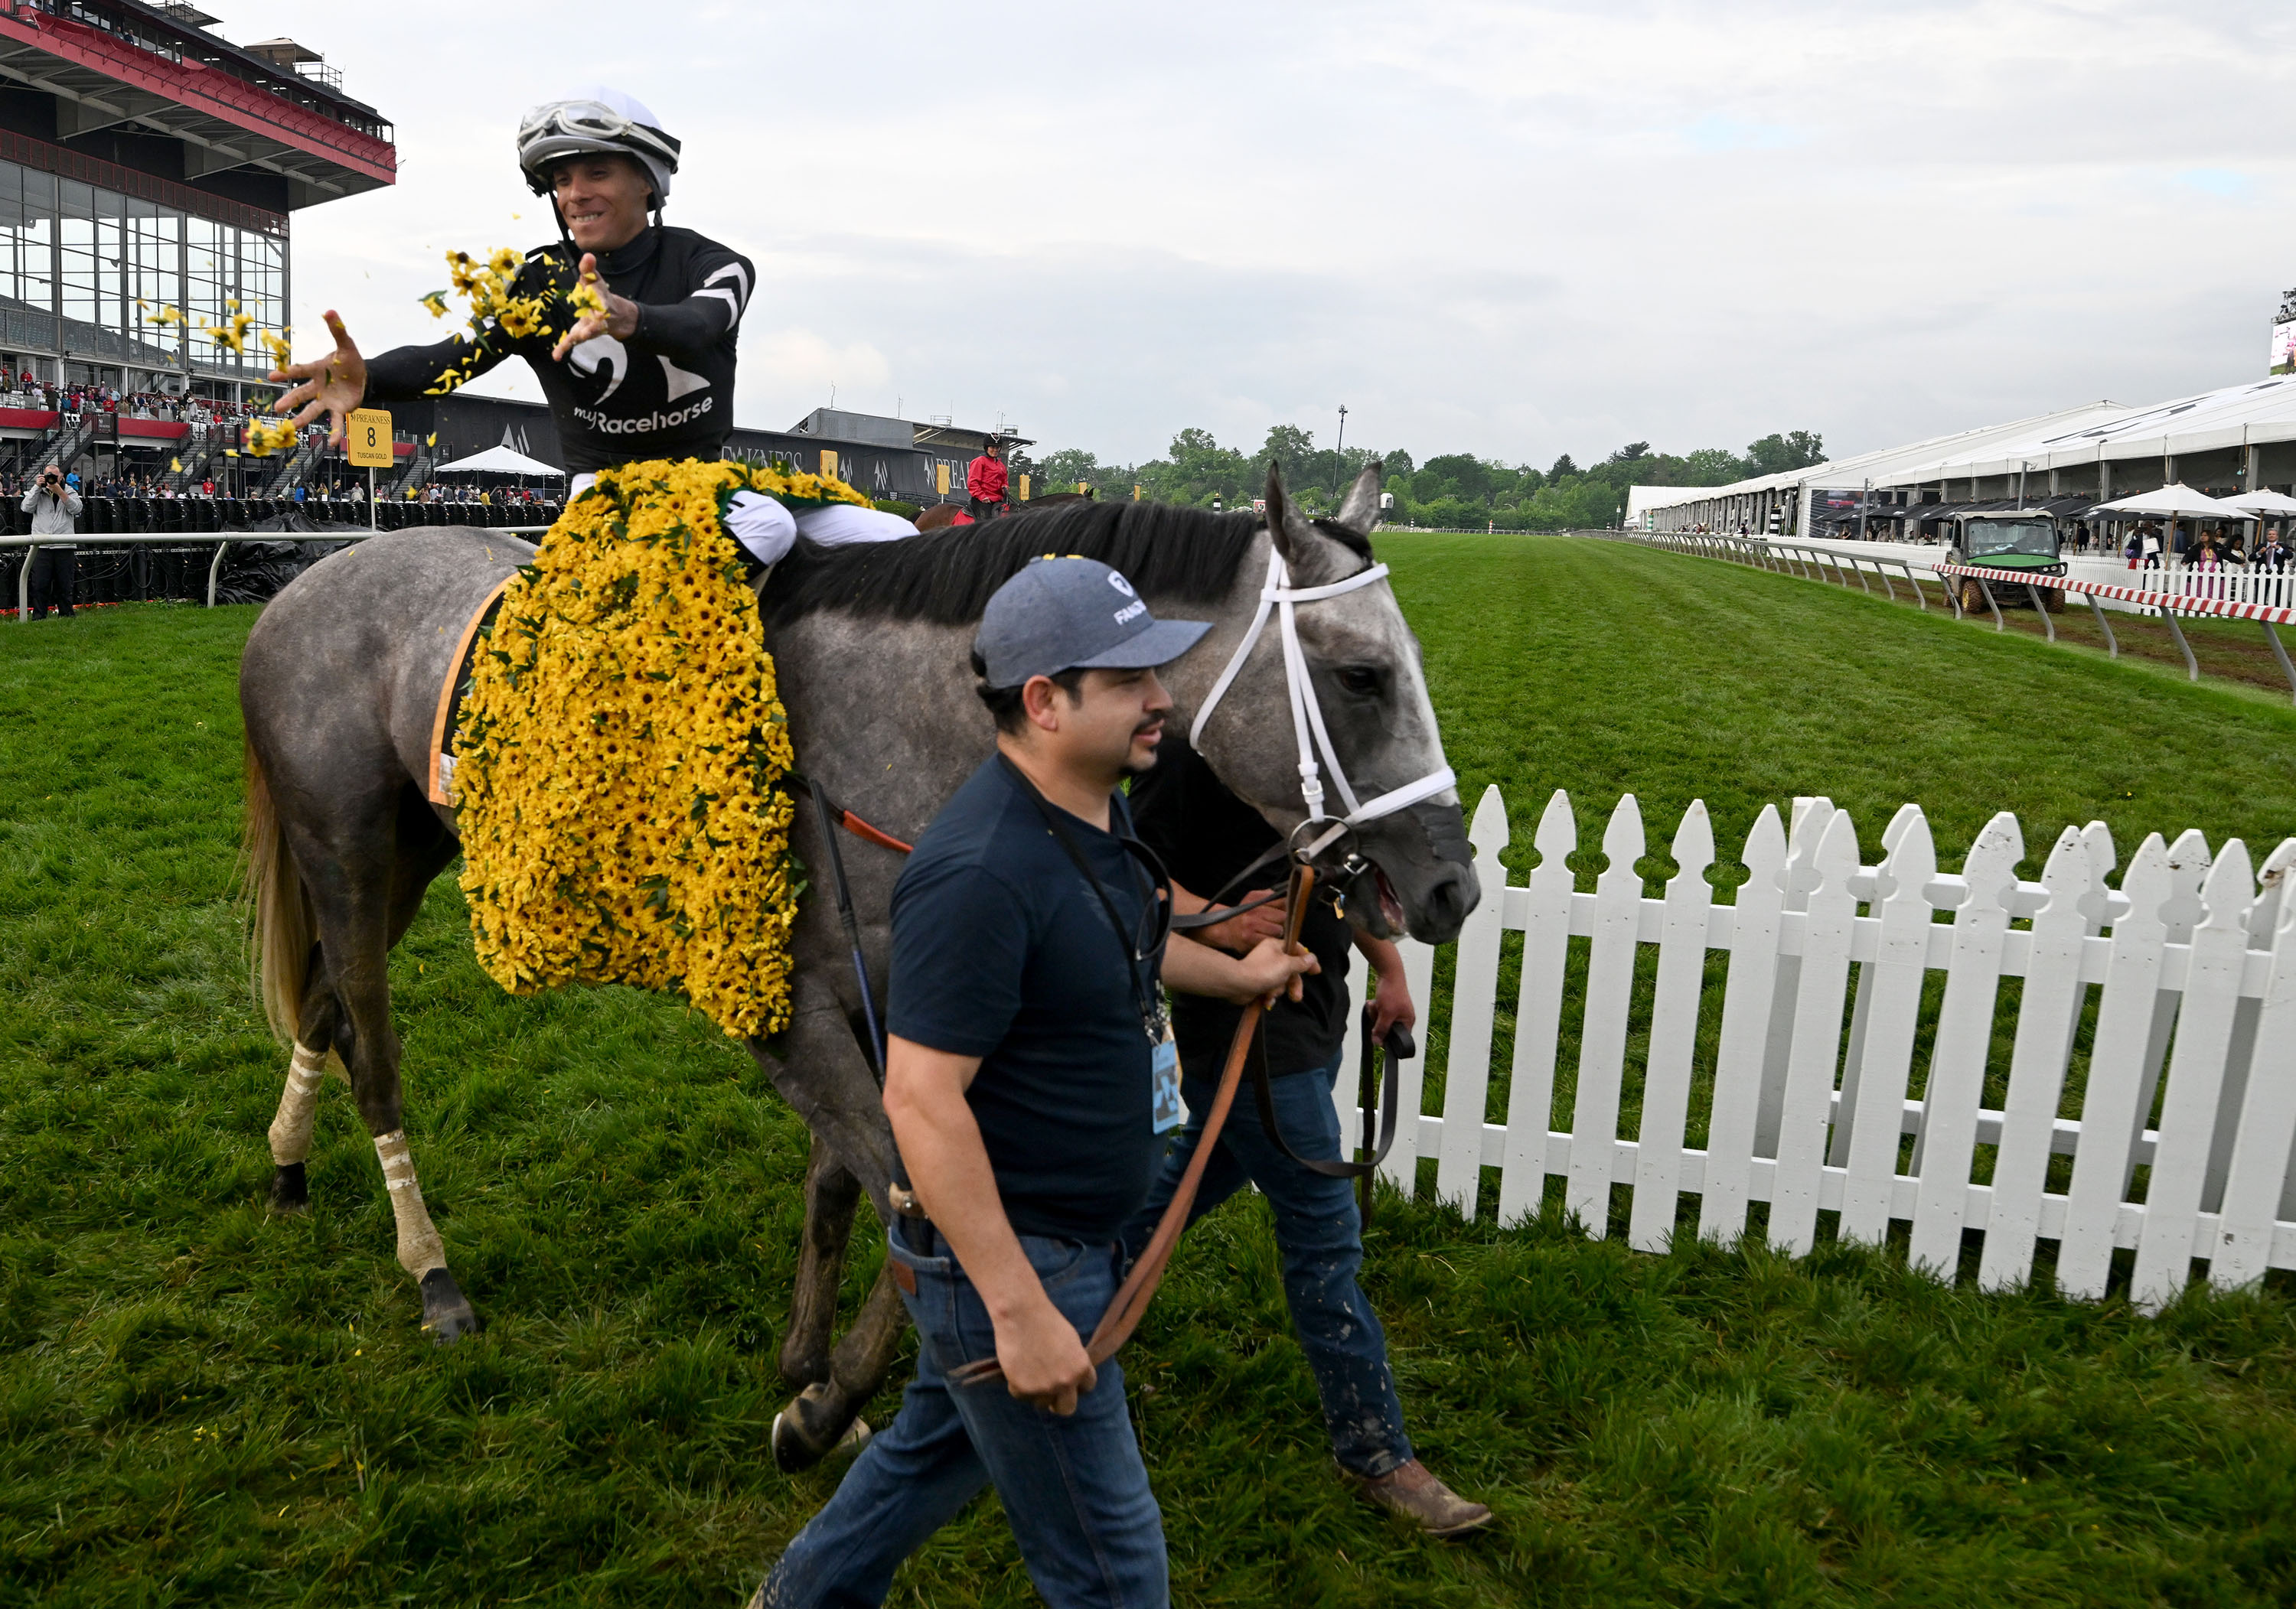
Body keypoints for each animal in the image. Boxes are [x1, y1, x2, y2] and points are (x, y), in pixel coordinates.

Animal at [237, 464, 1469, 1469]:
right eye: (1364, 676)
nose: (1453, 882)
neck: (893, 737)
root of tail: (299, 587)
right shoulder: (784, 1016)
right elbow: (918, 1198)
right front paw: (827, 1406)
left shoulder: (898, 999)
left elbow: (853, 1183)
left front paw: (810, 1367)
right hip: (346, 852)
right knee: (373, 1049)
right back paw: (433, 1272)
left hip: (411, 851)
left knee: (324, 1011)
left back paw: (289, 1167)